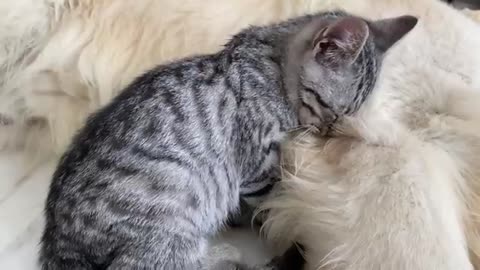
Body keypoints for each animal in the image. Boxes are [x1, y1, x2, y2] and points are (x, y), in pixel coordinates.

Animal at [40, 10, 416, 270]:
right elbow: (271, 202)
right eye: (330, 110)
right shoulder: (257, 167)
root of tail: (58, 245)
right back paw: (227, 254)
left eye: (345, 116)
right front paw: (278, 223)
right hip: (170, 224)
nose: (327, 132)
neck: (269, 66)